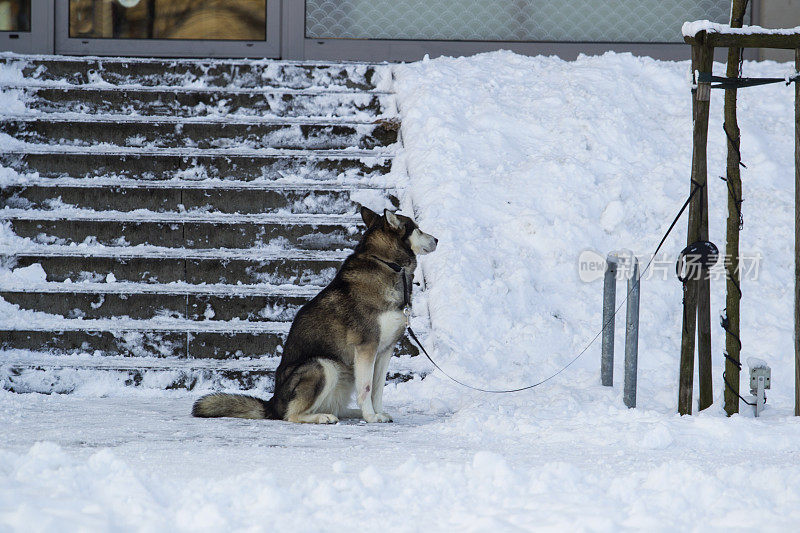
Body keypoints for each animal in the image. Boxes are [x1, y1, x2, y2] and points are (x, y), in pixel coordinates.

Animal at [194, 206, 438, 422]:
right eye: (417, 229)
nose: (436, 239)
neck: (388, 264)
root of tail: (272, 404)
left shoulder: (385, 349)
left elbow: (377, 389)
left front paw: (377, 413)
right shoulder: (366, 347)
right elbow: (367, 388)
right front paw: (371, 417)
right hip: (323, 366)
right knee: (291, 415)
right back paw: (323, 417)